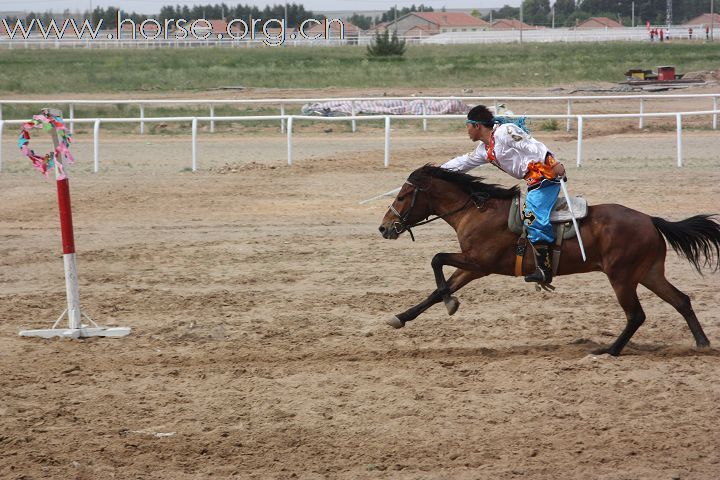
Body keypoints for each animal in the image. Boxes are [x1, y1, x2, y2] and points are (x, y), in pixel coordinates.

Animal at [376, 165, 720, 356]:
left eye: (403, 196)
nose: (384, 227)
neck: (476, 211)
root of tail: (650, 219)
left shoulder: (479, 263)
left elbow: (436, 260)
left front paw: (450, 302)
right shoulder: (472, 268)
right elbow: (438, 289)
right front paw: (403, 316)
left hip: (622, 278)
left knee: (636, 315)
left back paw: (609, 351)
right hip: (648, 273)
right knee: (681, 300)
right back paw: (702, 343)